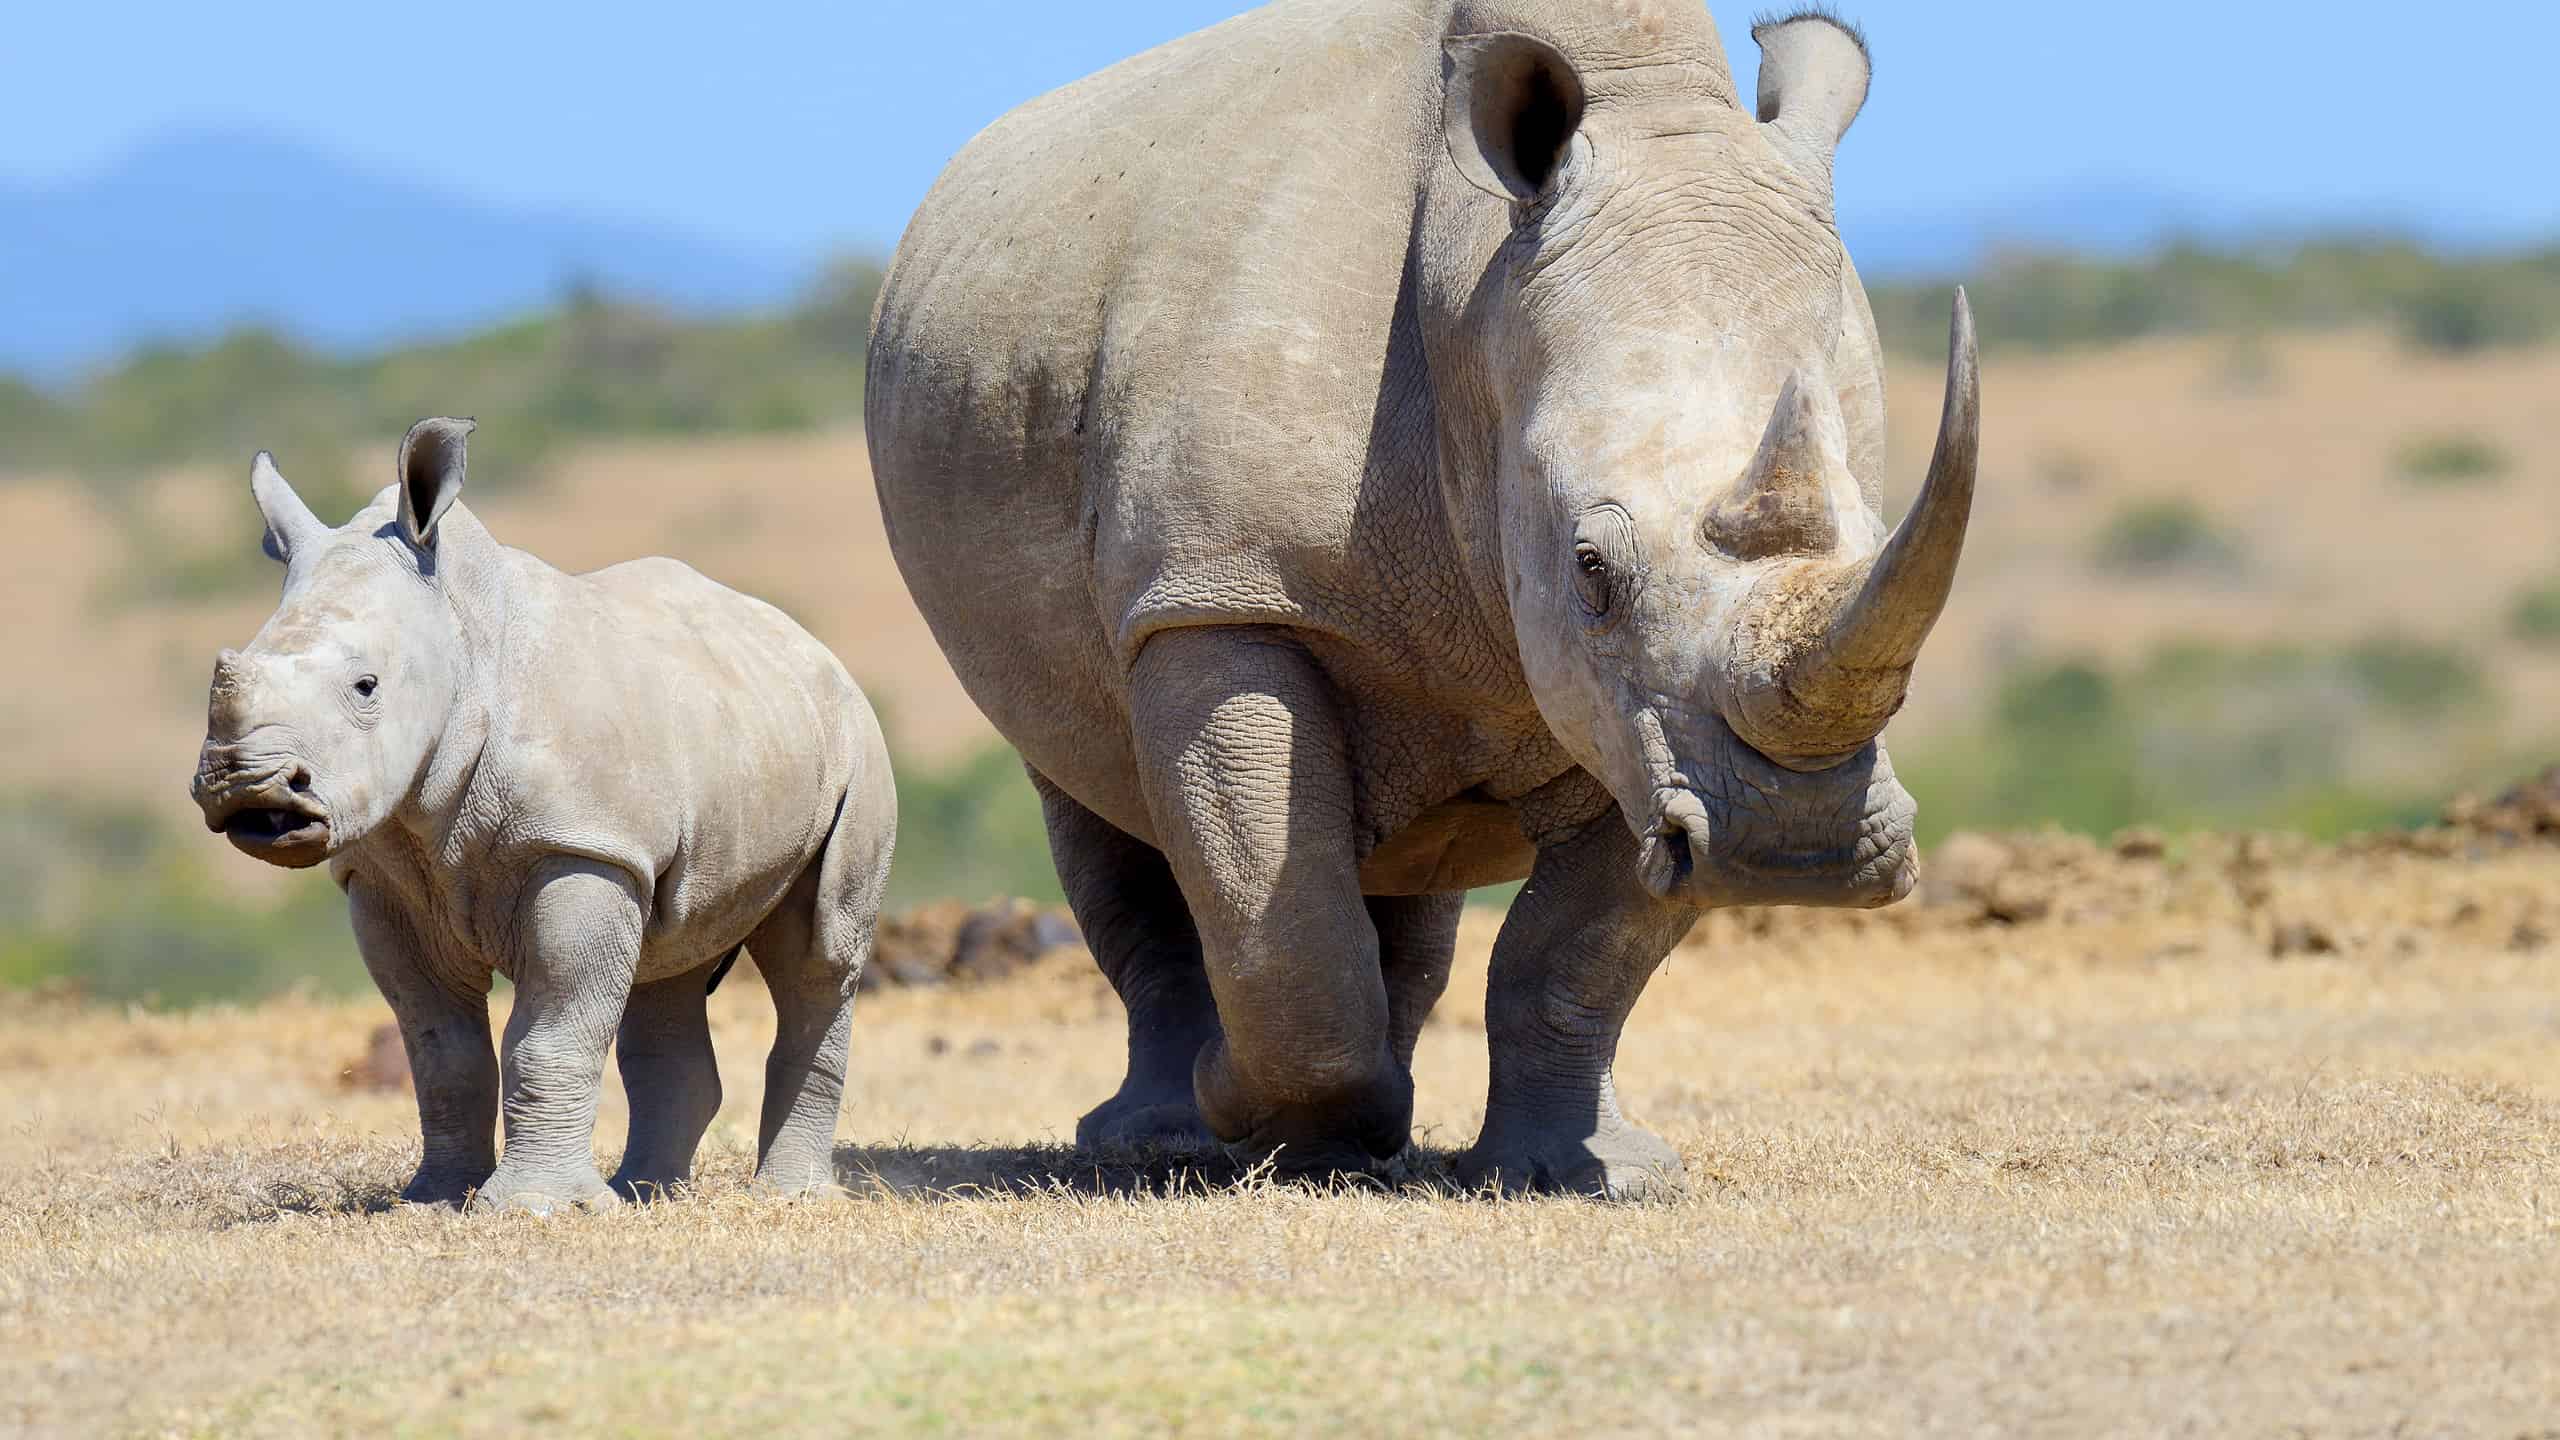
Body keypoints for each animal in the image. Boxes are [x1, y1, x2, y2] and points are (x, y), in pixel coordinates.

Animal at [190, 419, 896, 1212]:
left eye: (366, 686)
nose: (250, 790)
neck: (461, 641)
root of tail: (814, 648)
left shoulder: (581, 844)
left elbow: (551, 1031)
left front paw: (533, 1208)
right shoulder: (381, 875)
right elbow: (439, 1048)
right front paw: (435, 1199)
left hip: (855, 743)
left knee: (819, 951)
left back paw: (786, 1198)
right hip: (716, 743)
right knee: (667, 956)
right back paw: (643, 1194)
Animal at [867, 0, 1978, 1195]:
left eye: (1880, 541)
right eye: (1591, 568)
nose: (1794, 847)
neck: (1476, 291)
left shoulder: (1639, 722)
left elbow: (1576, 949)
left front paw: (1582, 1173)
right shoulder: (1218, 591)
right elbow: (1276, 923)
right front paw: (1248, 1117)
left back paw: (1375, 1134)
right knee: (1093, 793)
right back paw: (1170, 1139)